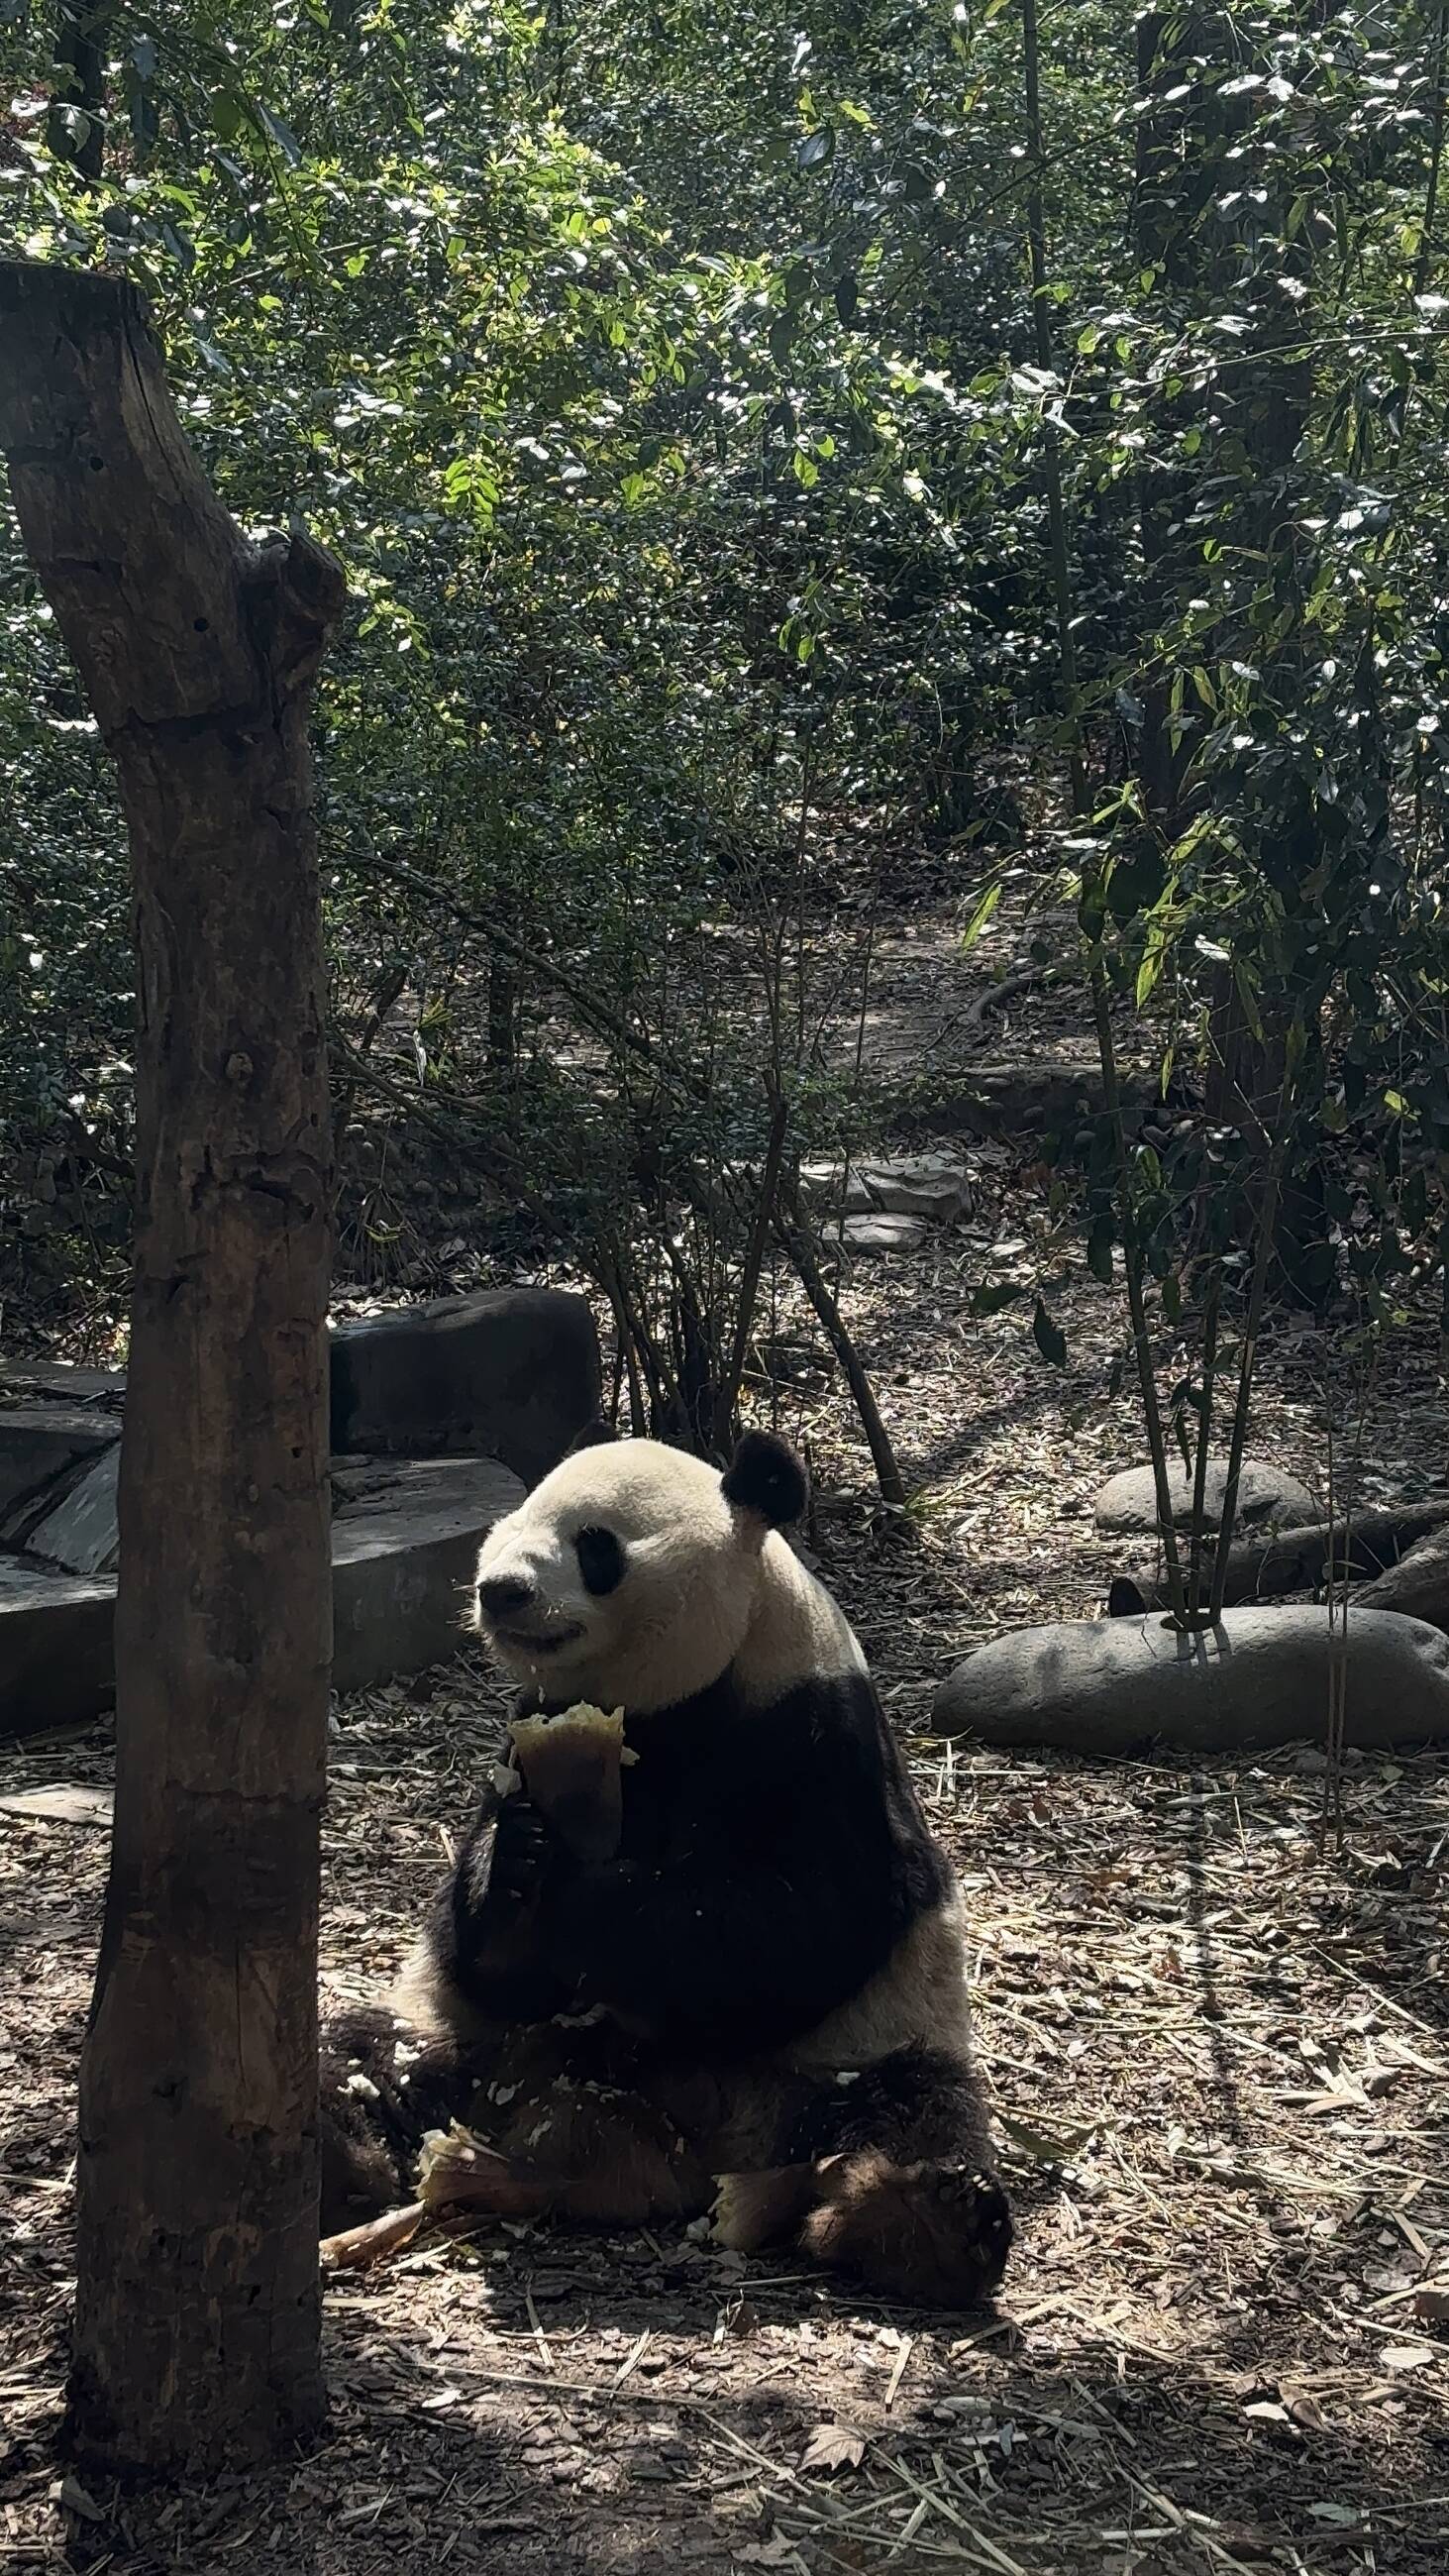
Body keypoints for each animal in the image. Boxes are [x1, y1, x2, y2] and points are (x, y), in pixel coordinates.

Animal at [319, 1425, 1011, 2308]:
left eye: (594, 1546)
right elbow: (476, 1943)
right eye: (510, 1525)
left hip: (856, 2048)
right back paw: (340, 2152)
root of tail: (688, 2153)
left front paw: (588, 1900)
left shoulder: (815, 1734)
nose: (499, 1591)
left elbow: (810, 1919)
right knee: (370, 2060)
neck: (677, 1696)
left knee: (913, 2110)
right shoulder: (525, 1731)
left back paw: (920, 2221)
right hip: (464, 2042)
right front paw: (520, 1863)